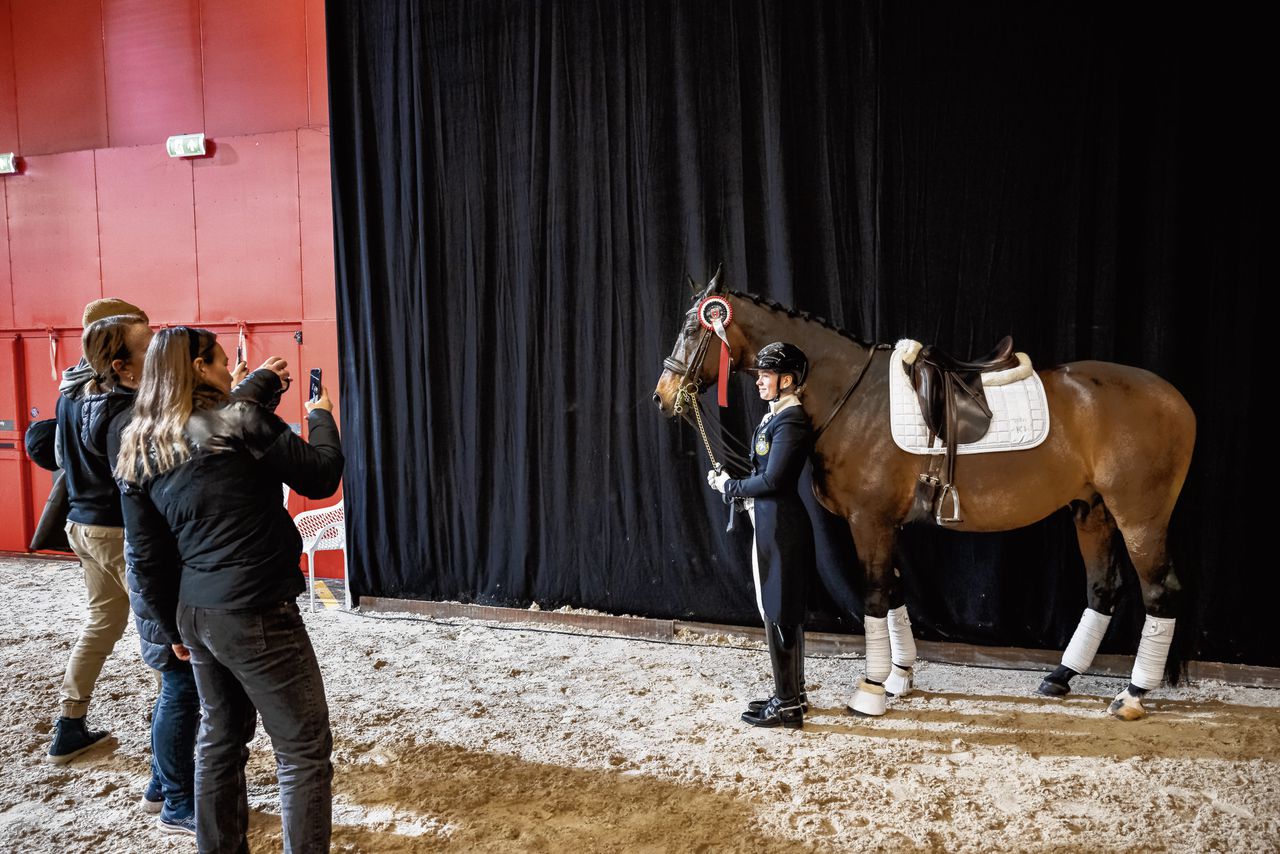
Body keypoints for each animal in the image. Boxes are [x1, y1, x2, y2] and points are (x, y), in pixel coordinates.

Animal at [655, 273, 1192, 722]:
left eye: (693, 326)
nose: (663, 394)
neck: (852, 396)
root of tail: (1175, 399)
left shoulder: (868, 521)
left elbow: (874, 596)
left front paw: (870, 689)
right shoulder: (885, 524)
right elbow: (895, 594)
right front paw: (898, 677)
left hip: (1139, 516)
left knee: (1160, 593)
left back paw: (1133, 694)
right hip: (1091, 510)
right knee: (1103, 590)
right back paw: (1061, 677)